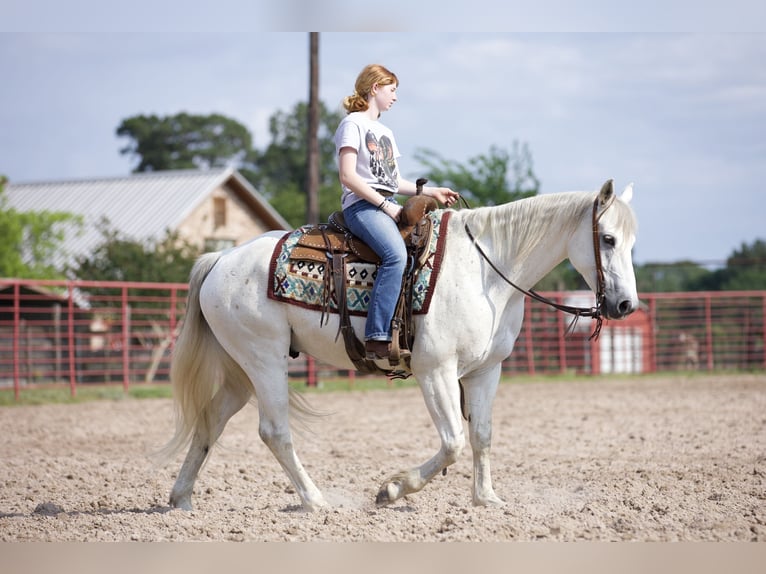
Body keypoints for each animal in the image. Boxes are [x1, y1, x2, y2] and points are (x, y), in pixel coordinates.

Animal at [164, 178, 640, 510]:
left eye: (632, 241)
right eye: (608, 238)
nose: (625, 304)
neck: (486, 271)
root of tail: (221, 259)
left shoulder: (486, 371)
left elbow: (481, 435)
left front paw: (486, 499)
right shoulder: (436, 371)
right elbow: (453, 442)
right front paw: (392, 489)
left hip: (240, 370)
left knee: (210, 422)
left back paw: (181, 498)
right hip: (265, 361)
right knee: (275, 431)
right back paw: (315, 501)